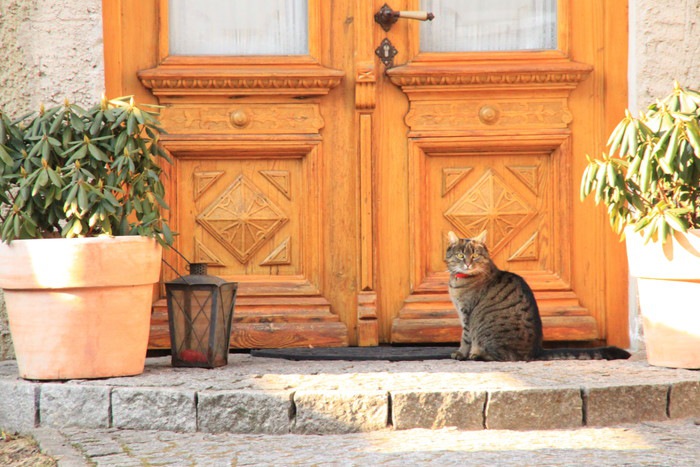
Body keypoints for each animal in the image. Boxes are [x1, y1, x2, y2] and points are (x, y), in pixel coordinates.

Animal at [446, 231, 632, 362]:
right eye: (461, 255)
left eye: (475, 255)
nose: (468, 263)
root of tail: (536, 351)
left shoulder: (466, 313)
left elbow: (465, 337)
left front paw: (461, 354)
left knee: (505, 356)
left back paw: (477, 355)